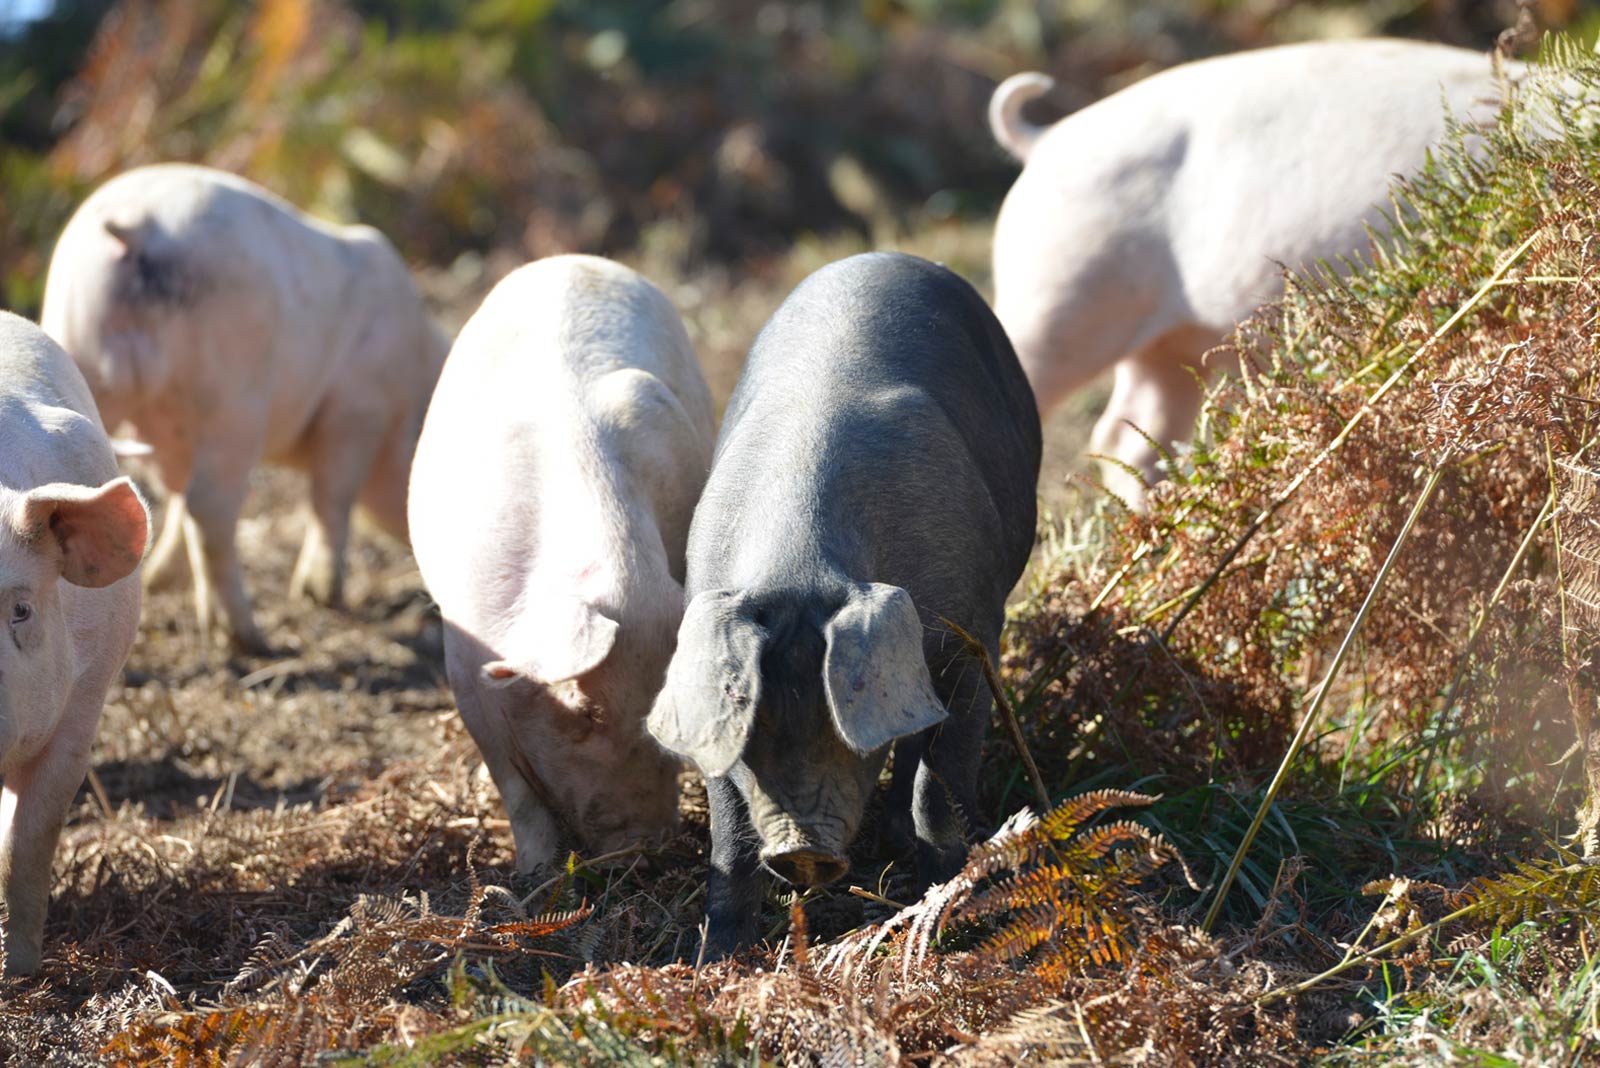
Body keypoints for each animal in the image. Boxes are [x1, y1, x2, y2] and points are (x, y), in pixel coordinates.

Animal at [40, 163, 448, 655]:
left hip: (78, 344)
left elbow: (173, 501)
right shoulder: (357, 407)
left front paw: (160, 579)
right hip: (233, 398)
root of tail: (138, 231)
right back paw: (249, 640)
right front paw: (320, 596)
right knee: (212, 507)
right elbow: (332, 495)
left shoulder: (169, 439)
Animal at [406, 255, 713, 876]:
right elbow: (512, 785)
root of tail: (574, 261)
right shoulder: (463, 654)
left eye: (664, 717)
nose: (644, 849)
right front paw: (533, 873)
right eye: (585, 712)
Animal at [646, 252, 1036, 959]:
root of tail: (883, 256)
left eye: (842, 720)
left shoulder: (972, 636)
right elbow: (728, 836)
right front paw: (717, 963)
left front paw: (942, 917)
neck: (800, 566)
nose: (802, 850)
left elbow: (939, 782)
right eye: (753, 719)